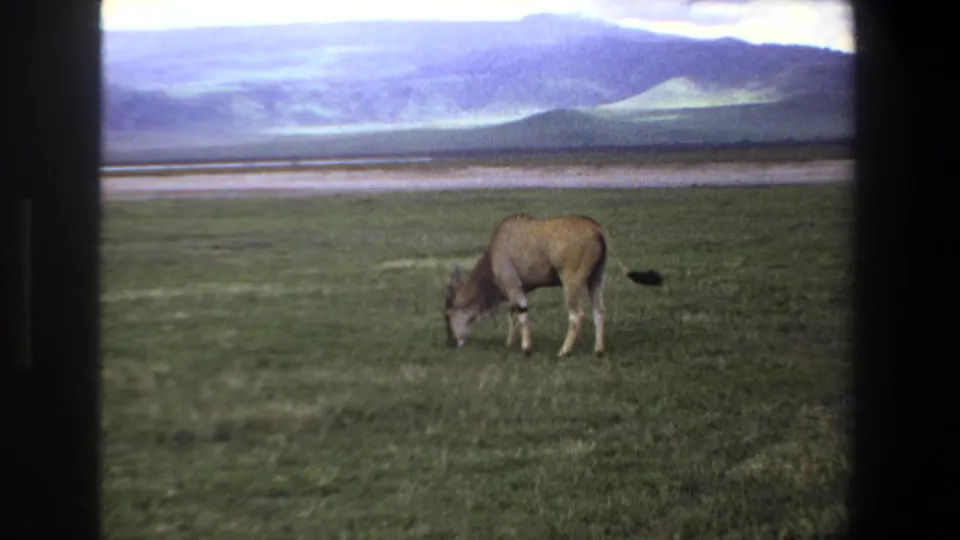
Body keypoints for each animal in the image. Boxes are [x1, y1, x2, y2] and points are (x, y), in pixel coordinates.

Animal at [443, 213, 663, 357]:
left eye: (447, 315)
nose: (451, 342)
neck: (493, 253)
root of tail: (595, 227)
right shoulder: (519, 289)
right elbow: (513, 314)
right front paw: (510, 343)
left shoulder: (513, 285)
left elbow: (521, 314)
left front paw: (526, 348)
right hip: (595, 279)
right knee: (599, 311)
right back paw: (599, 350)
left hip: (571, 281)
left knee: (576, 315)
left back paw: (564, 351)